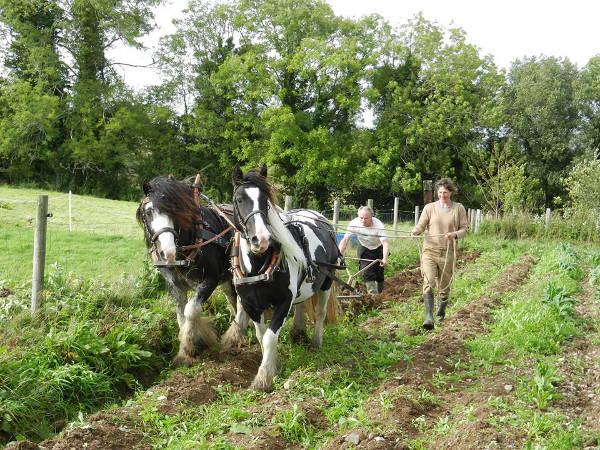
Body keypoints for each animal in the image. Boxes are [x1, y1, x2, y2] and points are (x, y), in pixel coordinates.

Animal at [136, 174, 248, 368]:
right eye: (149, 212)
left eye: (175, 211)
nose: (168, 253)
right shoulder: (175, 287)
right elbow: (181, 316)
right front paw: (186, 351)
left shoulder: (210, 280)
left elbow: (191, 310)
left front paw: (190, 346)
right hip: (227, 280)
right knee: (233, 300)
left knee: (242, 304)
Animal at [230, 164, 340, 390]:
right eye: (239, 199)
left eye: (266, 201)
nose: (261, 239)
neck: (257, 269)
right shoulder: (250, 305)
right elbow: (261, 336)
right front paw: (274, 364)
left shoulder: (283, 302)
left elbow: (270, 337)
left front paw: (263, 379)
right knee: (302, 302)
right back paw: (298, 332)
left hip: (327, 281)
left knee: (320, 312)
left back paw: (316, 342)